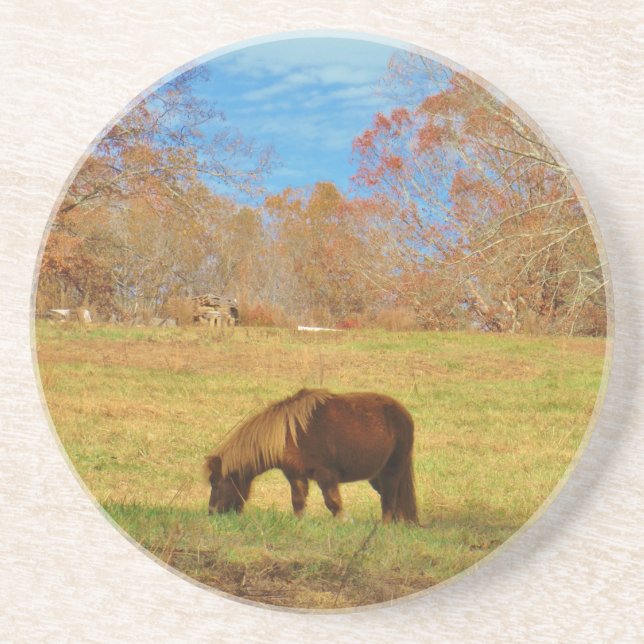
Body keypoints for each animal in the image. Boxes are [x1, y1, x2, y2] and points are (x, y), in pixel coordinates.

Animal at [203, 388, 418, 524]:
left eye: (216, 483)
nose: (212, 513)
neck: (288, 434)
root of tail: (404, 414)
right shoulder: (295, 475)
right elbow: (298, 503)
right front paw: (301, 525)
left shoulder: (326, 475)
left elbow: (333, 503)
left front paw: (344, 522)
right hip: (376, 476)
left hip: (392, 471)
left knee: (389, 502)